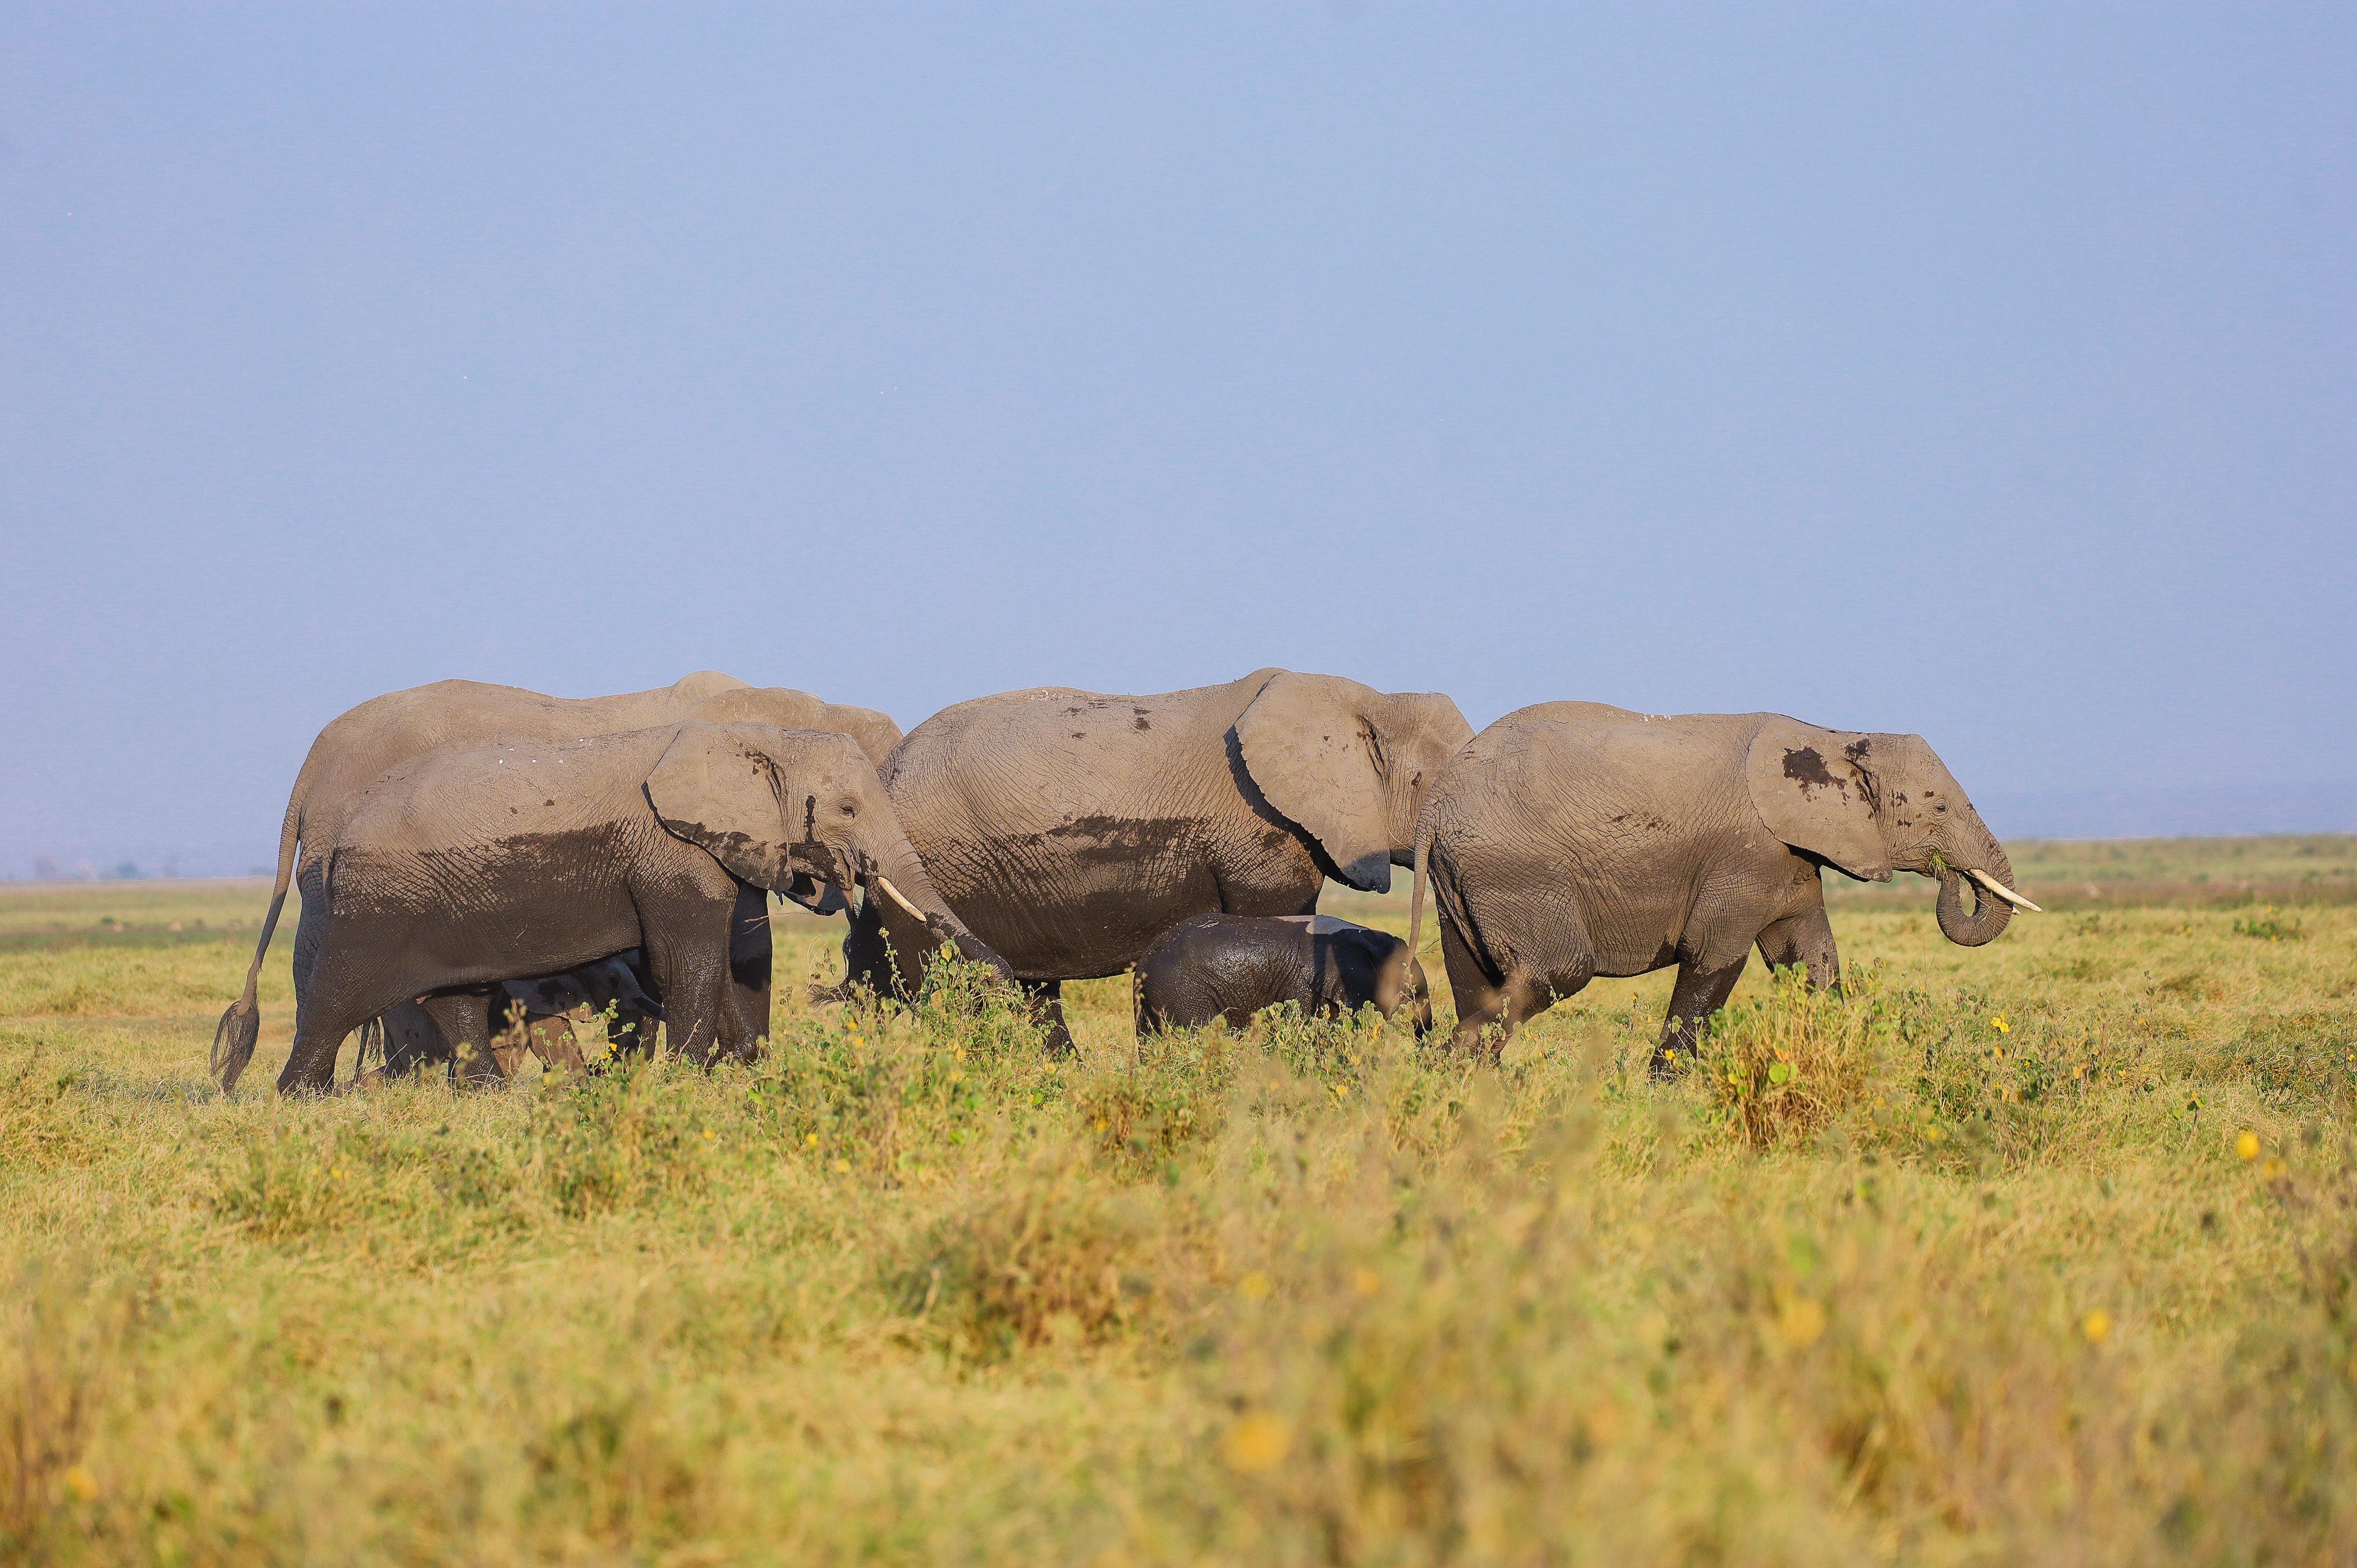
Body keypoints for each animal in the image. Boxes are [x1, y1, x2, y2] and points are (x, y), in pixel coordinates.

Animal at [223, 721, 1012, 1094]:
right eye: (847, 807)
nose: (1005, 980)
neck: (757, 738)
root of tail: (338, 829)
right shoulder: (667, 850)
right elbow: (689, 954)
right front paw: (689, 1079)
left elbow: (732, 954)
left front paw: (739, 1071)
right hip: (380, 901)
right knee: (338, 996)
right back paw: (298, 1101)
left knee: (458, 996)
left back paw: (489, 1099)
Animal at [1405, 703, 2039, 1070]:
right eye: (1939, 806)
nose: (1948, 873)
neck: (1835, 735)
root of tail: (1437, 801)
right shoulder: (1745, 855)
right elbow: (1713, 957)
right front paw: (1662, 1095)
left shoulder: (1790, 858)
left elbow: (1811, 963)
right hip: (1515, 868)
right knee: (1557, 972)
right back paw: (1441, 1080)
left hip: (1460, 877)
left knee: (1476, 979)